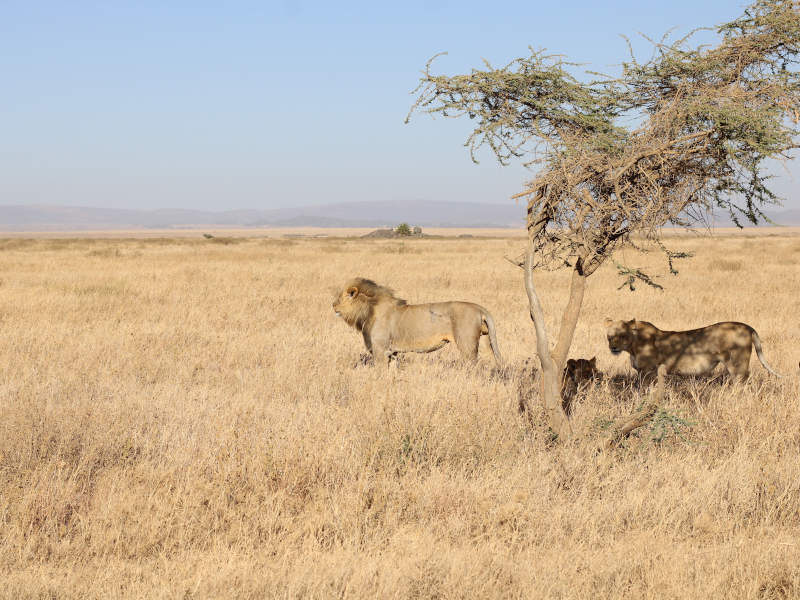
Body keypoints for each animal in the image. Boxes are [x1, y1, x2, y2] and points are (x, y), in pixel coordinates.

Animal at [332, 278, 500, 368]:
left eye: (340, 298)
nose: (332, 305)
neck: (368, 310)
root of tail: (479, 308)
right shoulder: (392, 352)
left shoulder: (380, 350)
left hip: (467, 345)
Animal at [608, 316, 780, 382]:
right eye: (609, 336)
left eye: (622, 335)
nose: (613, 347)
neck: (632, 346)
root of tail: (748, 327)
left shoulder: (648, 371)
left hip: (737, 363)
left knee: (742, 379)